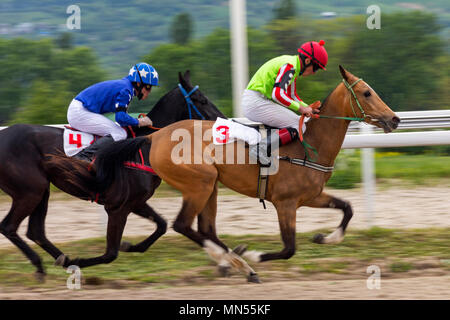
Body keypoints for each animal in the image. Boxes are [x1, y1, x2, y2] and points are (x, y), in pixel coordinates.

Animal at [0, 70, 225, 280]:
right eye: (202, 100)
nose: (223, 122)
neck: (145, 147)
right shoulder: (117, 208)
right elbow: (110, 253)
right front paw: (83, 261)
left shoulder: (135, 202)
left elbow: (161, 225)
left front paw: (131, 246)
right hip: (30, 191)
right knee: (9, 227)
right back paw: (44, 264)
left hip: (41, 191)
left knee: (35, 231)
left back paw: (62, 260)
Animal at [89, 65, 400, 282]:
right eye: (366, 93)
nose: (395, 119)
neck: (310, 145)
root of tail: (155, 135)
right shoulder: (285, 203)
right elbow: (289, 248)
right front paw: (254, 254)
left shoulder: (311, 196)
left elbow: (347, 208)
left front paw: (325, 238)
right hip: (199, 184)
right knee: (182, 225)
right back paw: (236, 261)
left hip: (210, 186)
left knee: (203, 228)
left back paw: (233, 260)